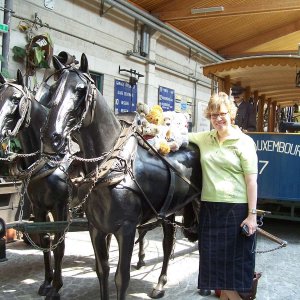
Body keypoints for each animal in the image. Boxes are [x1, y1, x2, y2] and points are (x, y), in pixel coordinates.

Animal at [41, 54, 202, 300]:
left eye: (80, 90)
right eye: (53, 89)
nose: (52, 138)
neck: (110, 169)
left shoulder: (126, 229)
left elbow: (121, 277)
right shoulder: (96, 228)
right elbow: (102, 270)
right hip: (169, 212)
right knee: (168, 243)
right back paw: (160, 284)